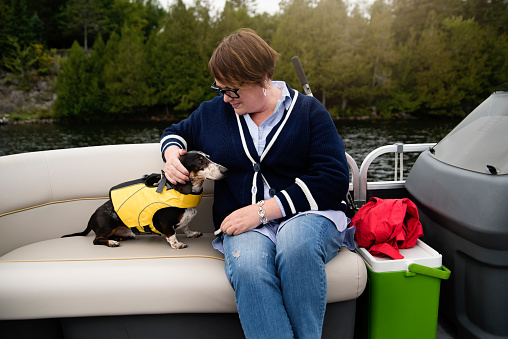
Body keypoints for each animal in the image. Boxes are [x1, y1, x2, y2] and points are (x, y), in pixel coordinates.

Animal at [62, 151, 227, 250]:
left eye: (209, 157)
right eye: (200, 162)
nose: (225, 170)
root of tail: (92, 217)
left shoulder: (184, 221)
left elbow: (186, 227)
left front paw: (191, 233)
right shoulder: (166, 223)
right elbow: (172, 235)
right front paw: (177, 244)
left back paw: (118, 238)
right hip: (107, 227)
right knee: (96, 240)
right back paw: (112, 242)